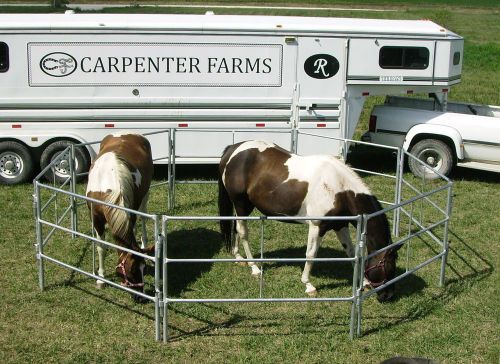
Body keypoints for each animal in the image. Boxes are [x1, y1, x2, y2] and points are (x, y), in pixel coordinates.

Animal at [86, 132, 153, 300]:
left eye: (143, 269)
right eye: (132, 270)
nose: (142, 298)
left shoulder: (131, 212)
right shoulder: (96, 218)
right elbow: (101, 247)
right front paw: (101, 279)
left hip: (145, 196)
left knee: (143, 218)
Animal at [217, 139, 400, 302]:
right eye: (389, 265)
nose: (388, 296)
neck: (340, 188)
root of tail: (233, 149)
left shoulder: (340, 225)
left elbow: (351, 252)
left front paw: (364, 282)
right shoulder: (317, 226)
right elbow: (311, 254)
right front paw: (308, 285)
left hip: (243, 207)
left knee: (236, 227)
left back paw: (239, 257)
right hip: (241, 204)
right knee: (243, 232)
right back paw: (254, 268)